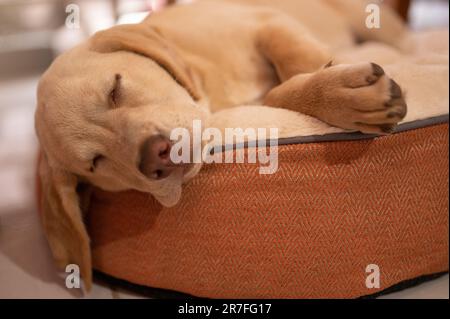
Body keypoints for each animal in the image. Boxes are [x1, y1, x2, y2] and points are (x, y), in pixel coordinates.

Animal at [34, 0, 408, 290]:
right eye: (96, 163)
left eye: (115, 89)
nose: (157, 158)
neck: (209, 91)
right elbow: (276, 94)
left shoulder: (269, 22)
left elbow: (295, 67)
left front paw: (333, 87)